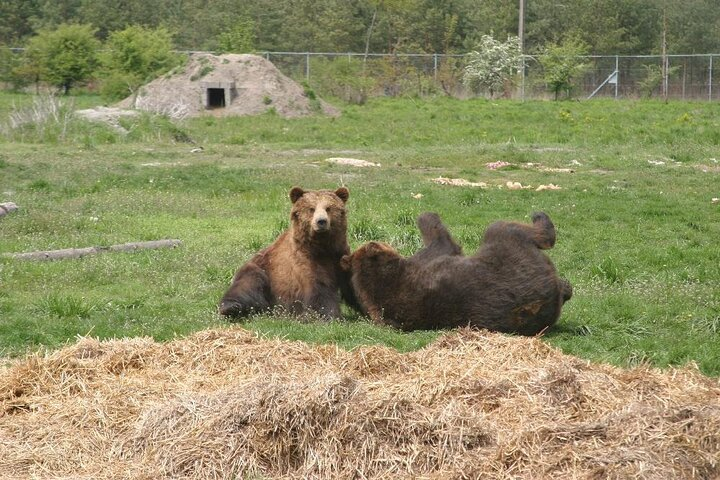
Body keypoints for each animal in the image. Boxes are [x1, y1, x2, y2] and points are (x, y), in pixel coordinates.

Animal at [219, 186, 357, 319]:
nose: (321, 221)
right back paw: (231, 308)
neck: (322, 247)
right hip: (263, 271)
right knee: (246, 285)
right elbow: (320, 288)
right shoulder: (305, 260)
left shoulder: (339, 255)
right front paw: (329, 315)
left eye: (328, 208)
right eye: (311, 209)